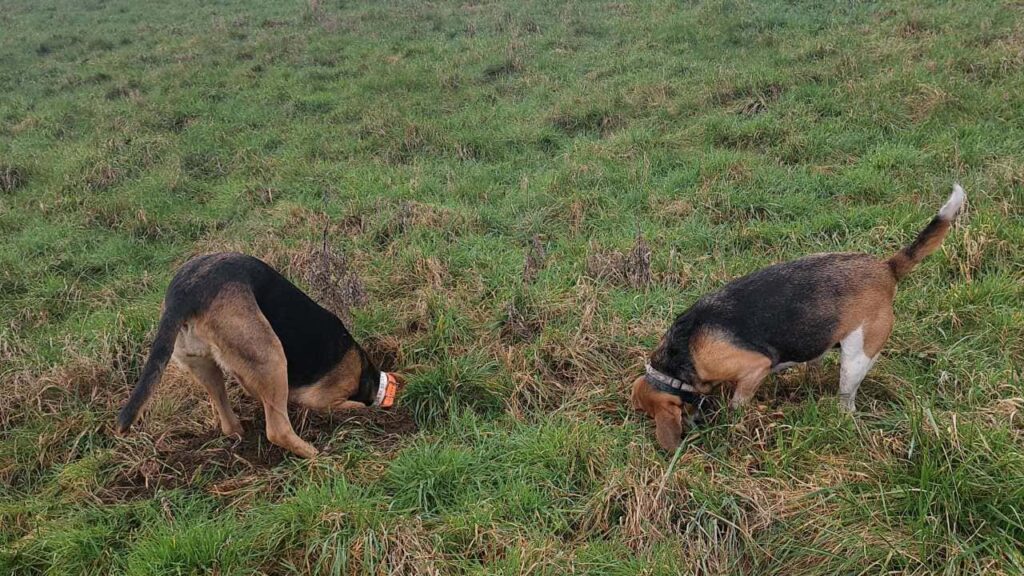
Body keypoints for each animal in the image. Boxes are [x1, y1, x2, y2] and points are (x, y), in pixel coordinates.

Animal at [117, 251, 405, 457]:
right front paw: (365, 412)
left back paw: (239, 436)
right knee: (277, 431)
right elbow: (349, 406)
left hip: (203, 364)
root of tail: (185, 292)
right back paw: (315, 453)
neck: (372, 379)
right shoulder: (322, 398)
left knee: (229, 419)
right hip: (271, 355)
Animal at [630, 183, 966, 448]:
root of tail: (886, 268)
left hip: (855, 360)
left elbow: (739, 401)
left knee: (848, 399)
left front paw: (735, 421)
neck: (681, 356)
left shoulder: (755, 367)